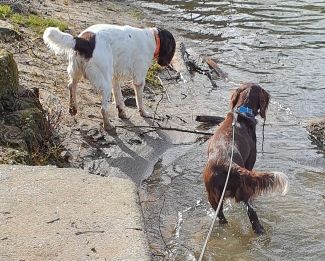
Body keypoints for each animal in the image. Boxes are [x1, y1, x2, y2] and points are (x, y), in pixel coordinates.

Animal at [43, 24, 175, 131]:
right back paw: (108, 126)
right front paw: (143, 112)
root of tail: (84, 40)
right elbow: (139, 100)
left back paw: (73, 108)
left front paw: (122, 113)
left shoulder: (115, 78)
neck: (153, 37)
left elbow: (119, 97)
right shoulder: (139, 78)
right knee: (103, 109)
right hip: (104, 83)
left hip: (76, 71)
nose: (168, 63)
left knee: (71, 86)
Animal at [204, 83, 288, 234]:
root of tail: (227, 164)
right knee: (251, 211)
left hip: (213, 198)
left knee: (222, 217)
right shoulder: (250, 163)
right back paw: (259, 230)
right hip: (244, 188)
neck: (242, 111)